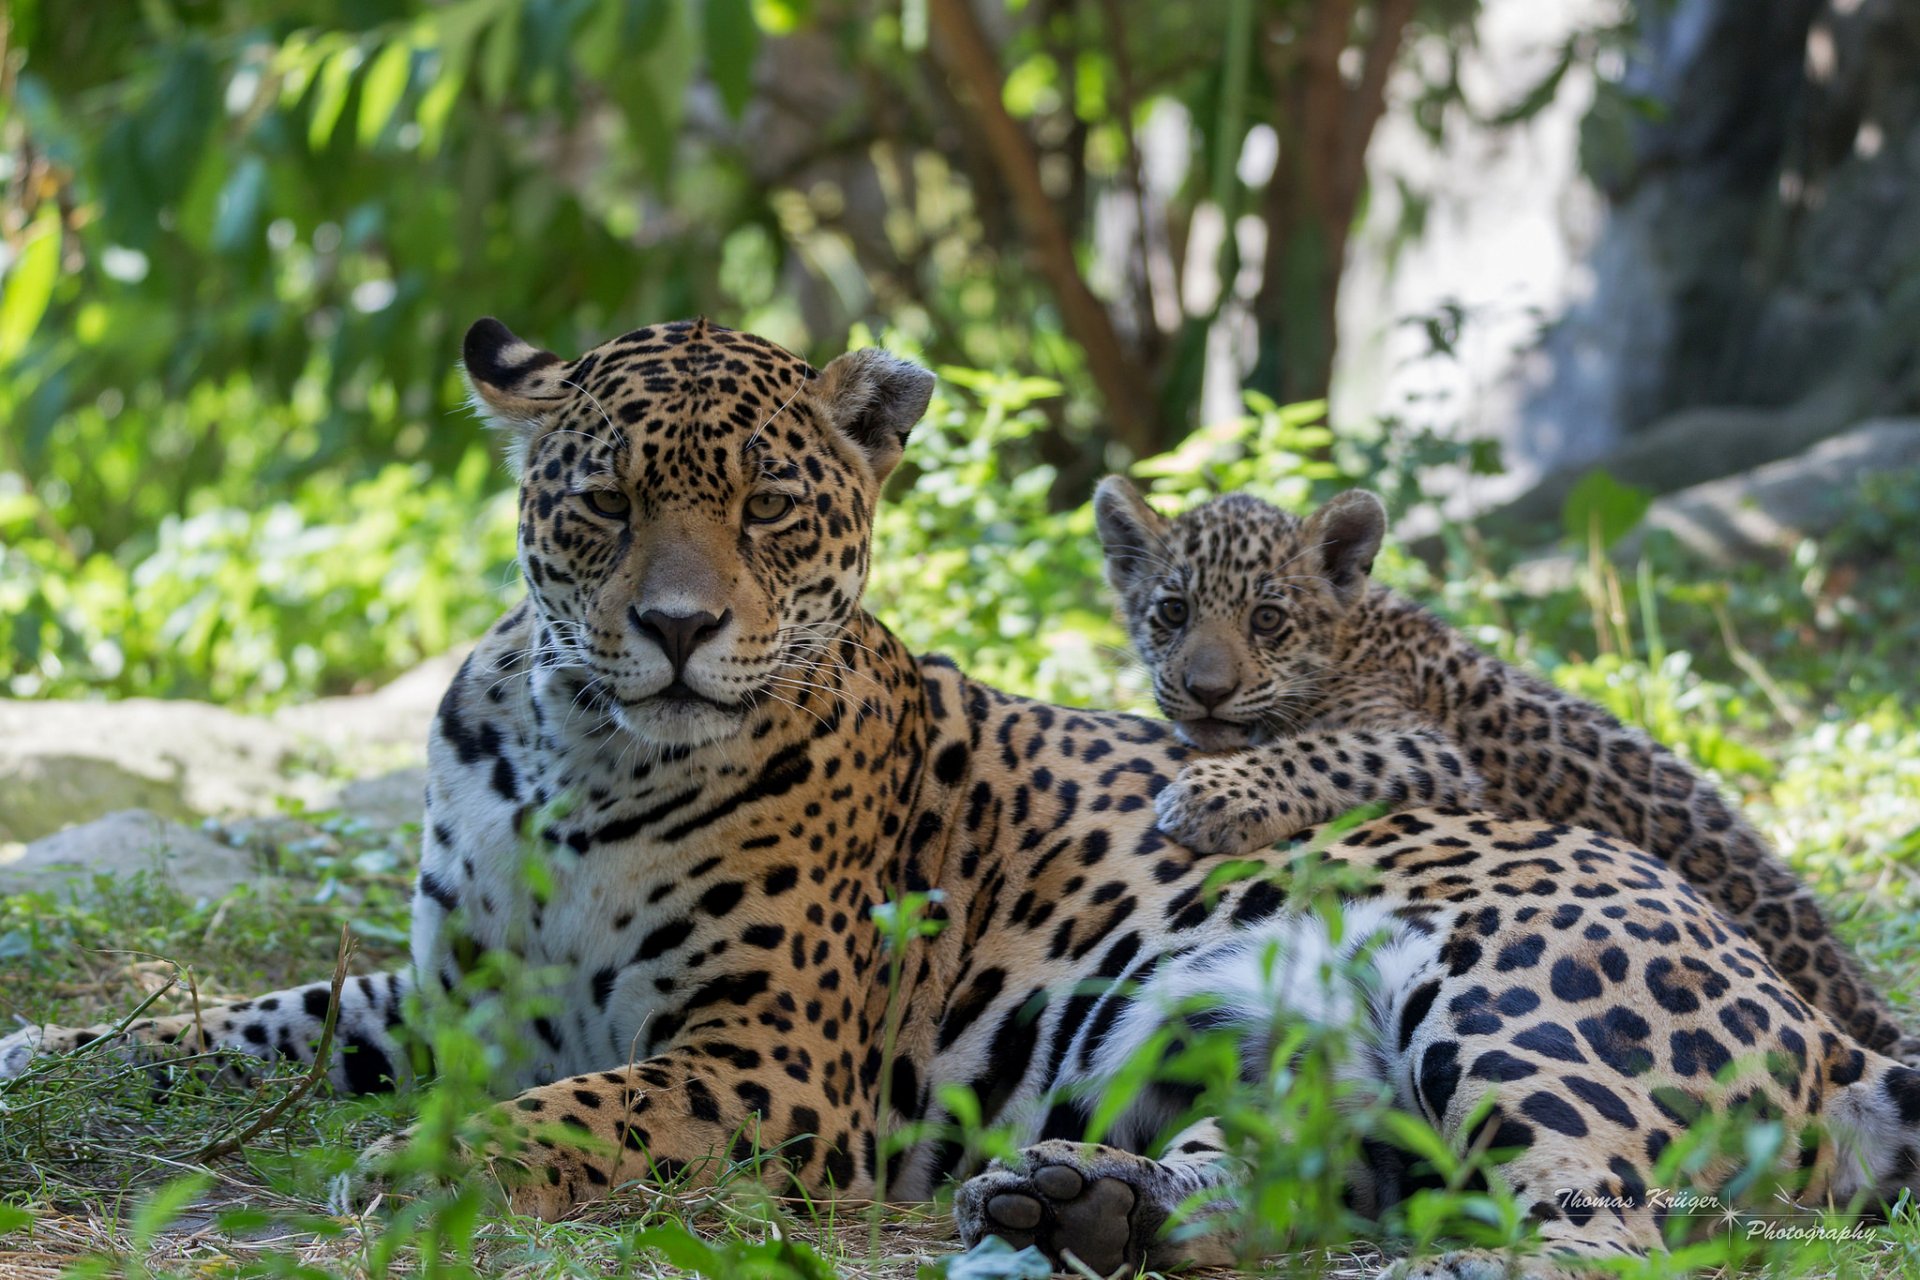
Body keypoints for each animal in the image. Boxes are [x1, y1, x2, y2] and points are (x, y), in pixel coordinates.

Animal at [1092, 476, 1920, 1067]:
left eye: (1267, 619)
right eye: (1172, 612)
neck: (1348, 636)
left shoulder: (1421, 745)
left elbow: (1316, 751)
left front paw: (1209, 796)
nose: (1206, 690)